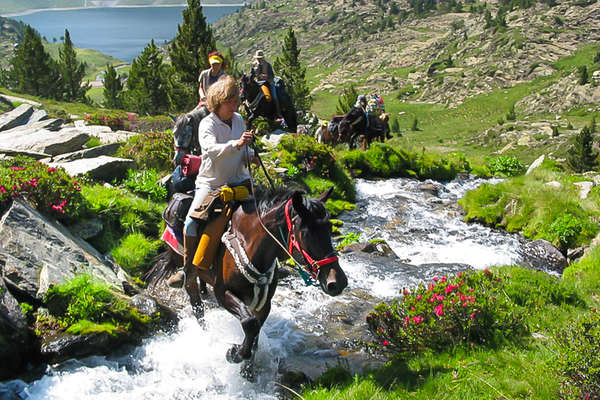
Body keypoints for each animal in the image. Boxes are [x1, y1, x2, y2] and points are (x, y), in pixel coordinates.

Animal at [146, 187, 350, 366]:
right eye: (306, 232)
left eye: (329, 227)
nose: (337, 282)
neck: (250, 245)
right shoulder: (223, 293)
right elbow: (250, 324)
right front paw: (235, 354)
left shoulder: (264, 302)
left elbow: (256, 332)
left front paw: (248, 369)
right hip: (186, 266)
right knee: (196, 304)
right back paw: (206, 333)